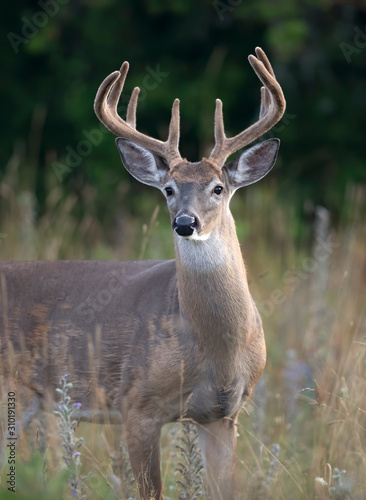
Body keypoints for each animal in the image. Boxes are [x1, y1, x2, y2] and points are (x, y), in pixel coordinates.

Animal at [0, 47, 286, 500]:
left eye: (218, 188)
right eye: (168, 189)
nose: (185, 223)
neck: (214, 349)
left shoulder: (223, 414)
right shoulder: (135, 405)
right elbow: (150, 490)